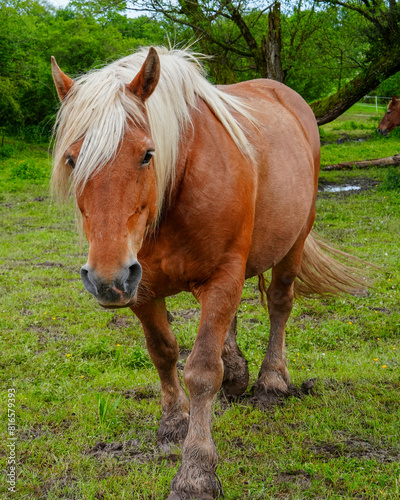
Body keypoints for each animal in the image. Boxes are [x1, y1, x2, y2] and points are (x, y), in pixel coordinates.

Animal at [50, 47, 362, 500]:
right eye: (72, 159)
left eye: (147, 154)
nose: (105, 279)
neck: (177, 188)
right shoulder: (143, 288)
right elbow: (163, 352)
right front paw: (172, 426)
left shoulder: (219, 276)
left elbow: (200, 371)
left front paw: (195, 471)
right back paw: (237, 372)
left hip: (294, 243)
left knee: (280, 305)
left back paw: (271, 381)